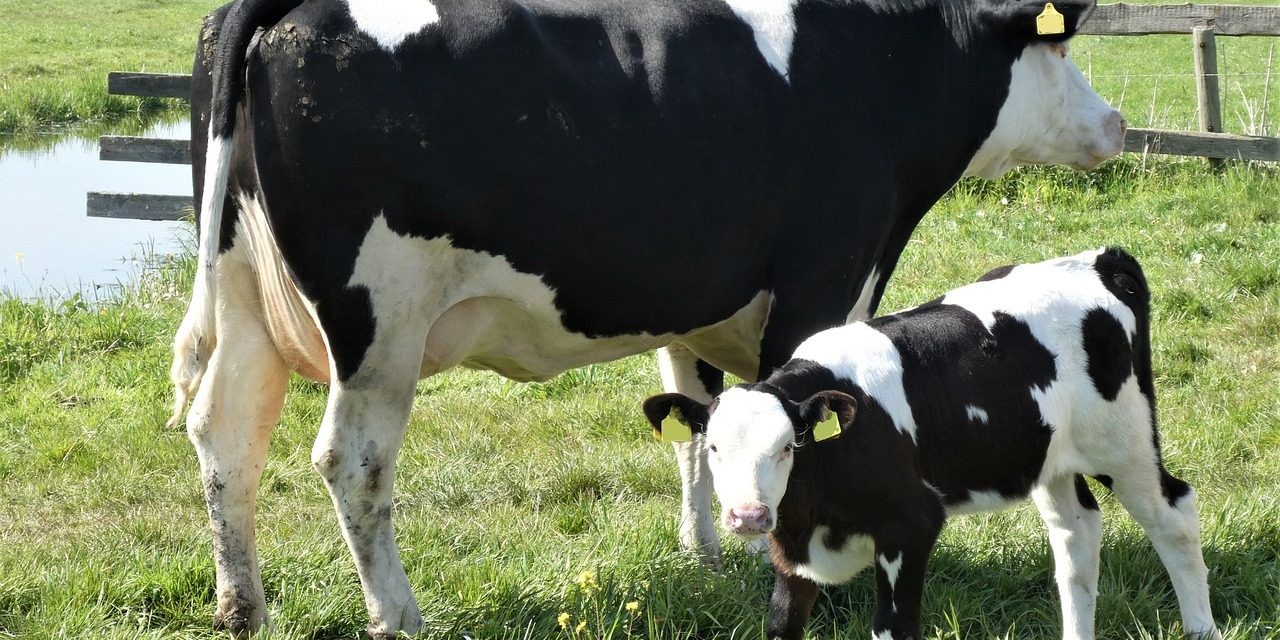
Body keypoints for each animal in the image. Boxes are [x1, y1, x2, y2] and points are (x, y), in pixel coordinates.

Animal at [174, 0, 1125, 635]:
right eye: (1060, 43)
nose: (1116, 120)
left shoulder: (698, 302)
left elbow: (703, 424)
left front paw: (706, 550)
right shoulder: (823, 277)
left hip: (247, 299)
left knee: (224, 435)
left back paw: (243, 605)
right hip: (381, 322)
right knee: (353, 461)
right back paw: (398, 614)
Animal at [643, 248, 1221, 640]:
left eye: (788, 446)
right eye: (713, 448)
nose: (748, 516)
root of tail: (1098, 261)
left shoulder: (910, 526)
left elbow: (892, 627)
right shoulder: (792, 554)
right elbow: (782, 624)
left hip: (1125, 443)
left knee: (1173, 515)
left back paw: (1201, 628)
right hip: (1049, 459)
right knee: (1076, 535)